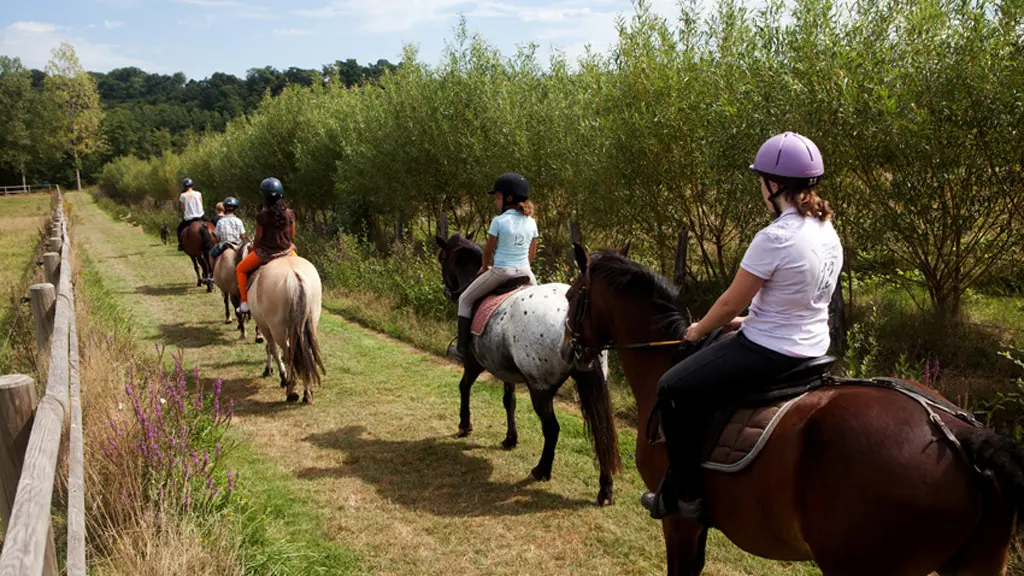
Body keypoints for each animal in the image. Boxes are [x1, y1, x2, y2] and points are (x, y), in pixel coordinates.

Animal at [247, 253, 323, 401]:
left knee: (289, 354)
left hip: (278, 329)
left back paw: (291, 391)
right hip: (310, 322)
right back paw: (307, 392)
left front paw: (280, 376)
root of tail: (293, 275)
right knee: (306, 353)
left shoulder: (265, 327)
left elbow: (273, 350)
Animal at [434, 233, 618, 502]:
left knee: (552, 428)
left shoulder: (474, 362)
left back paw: (542, 470)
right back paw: (605, 489)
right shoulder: (505, 369)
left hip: (540, 388)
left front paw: (464, 425)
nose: (448, 292)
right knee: (601, 431)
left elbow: (464, 387)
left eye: (443, 259)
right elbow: (508, 401)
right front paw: (510, 439)